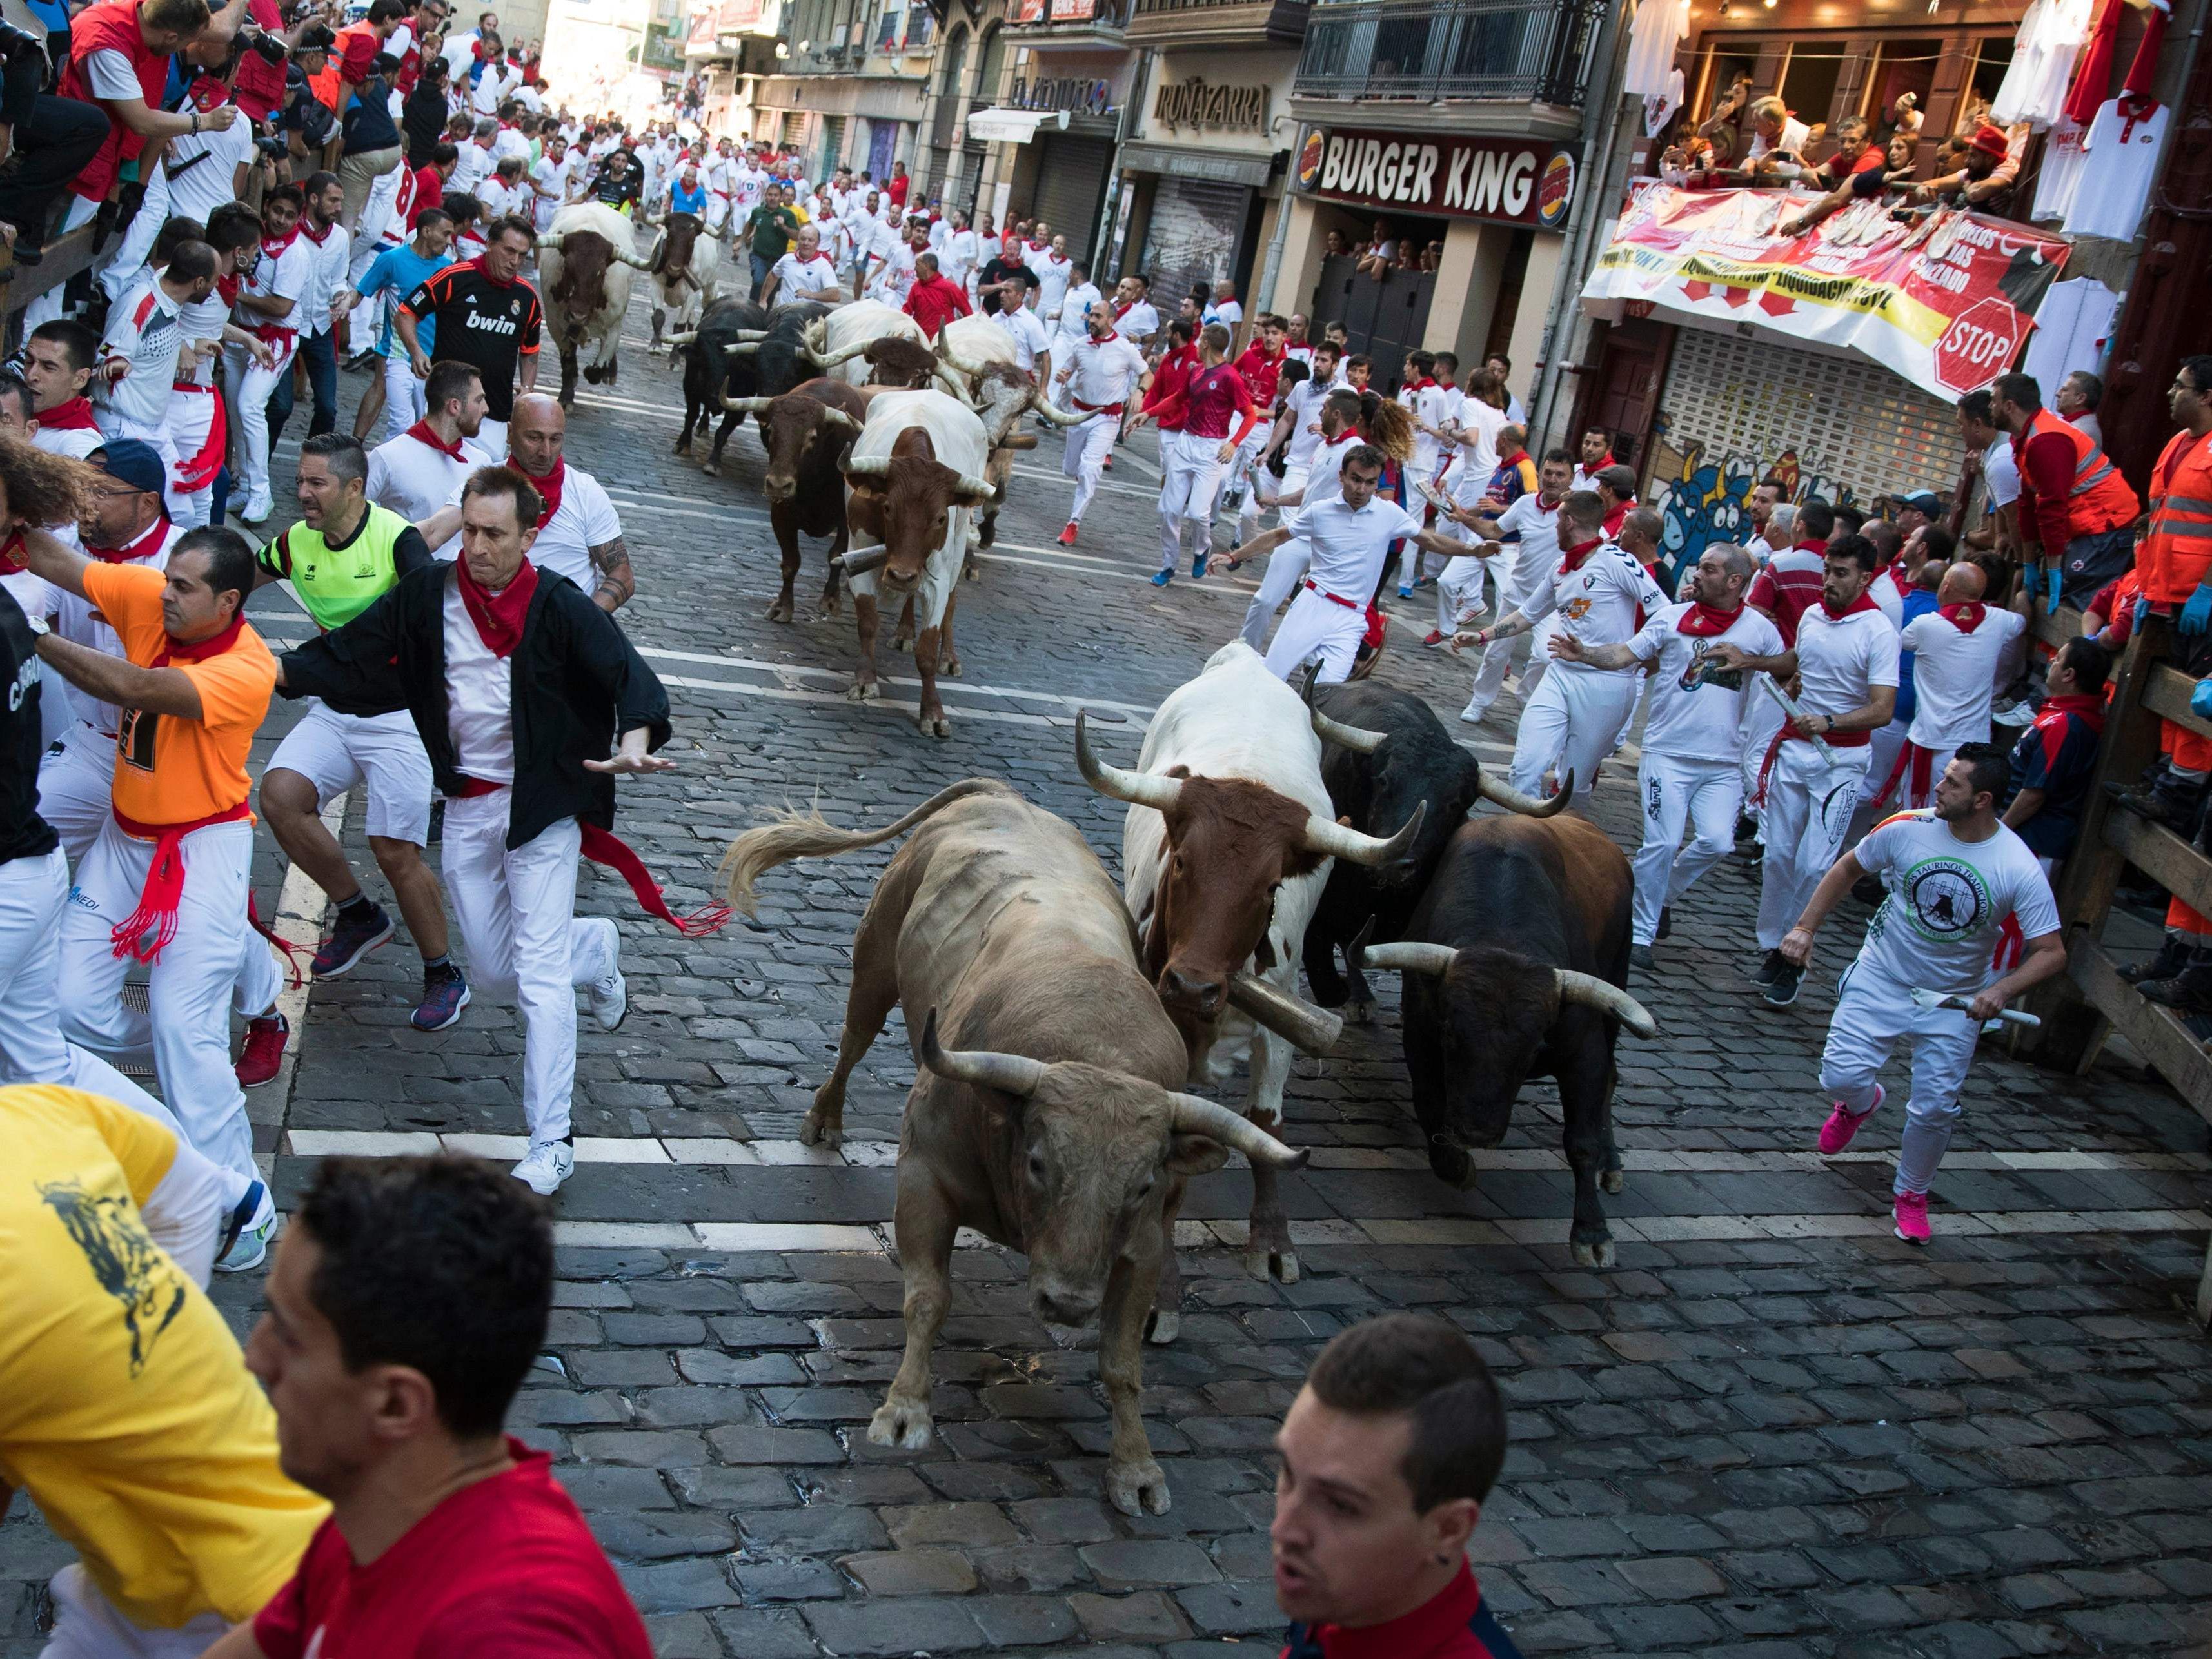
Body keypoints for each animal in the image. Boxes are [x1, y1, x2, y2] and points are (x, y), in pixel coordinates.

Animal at [535, 203, 655, 409]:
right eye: (567, 267)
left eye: (601, 273)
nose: (578, 316)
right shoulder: (555, 324)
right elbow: (568, 362)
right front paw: (566, 396)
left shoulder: (614, 328)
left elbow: (596, 370)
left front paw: (595, 371)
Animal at [716, 778, 1300, 1522]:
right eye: (1039, 1161)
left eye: (1142, 1184)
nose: (1068, 1303)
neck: (1095, 1046)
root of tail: (1000, 794)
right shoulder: (922, 1178)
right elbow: (928, 1298)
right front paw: (905, 1409)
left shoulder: (1142, 1245)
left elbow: (1122, 1361)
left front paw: (1136, 1466)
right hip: (873, 962)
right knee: (852, 1037)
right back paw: (824, 1118)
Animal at [1079, 645, 1424, 1309]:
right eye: (1181, 861)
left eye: (1269, 887)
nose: (1192, 986)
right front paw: (1160, 1282)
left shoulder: (1283, 1018)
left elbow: (1267, 1127)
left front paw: (1272, 1240)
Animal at [1362, 818, 1663, 1274]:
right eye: (1450, 1033)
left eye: (1535, 1047)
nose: (1479, 1132)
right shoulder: (1420, 1039)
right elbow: (1430, 1107)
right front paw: (1457, 1167)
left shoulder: (1584, 1053)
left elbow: (1581, 1139)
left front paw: (1593, 1233)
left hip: (1618, 984)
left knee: (1612, 1079)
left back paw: (1611, 1164)